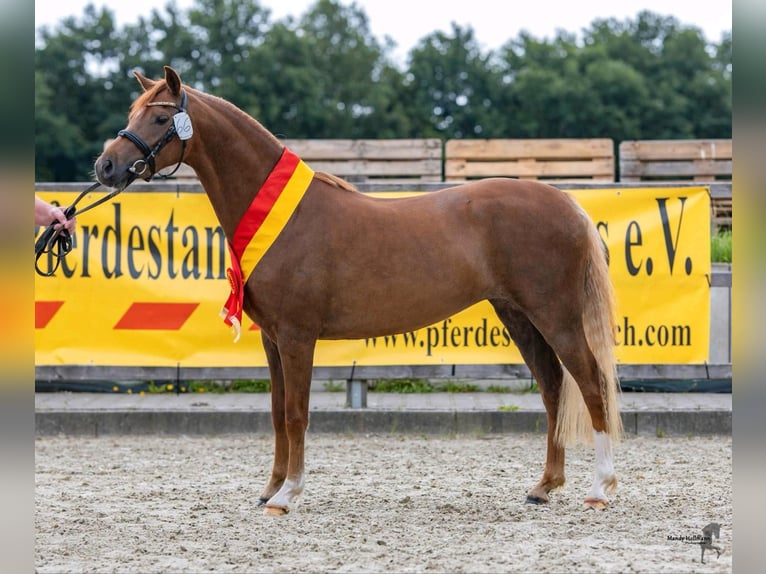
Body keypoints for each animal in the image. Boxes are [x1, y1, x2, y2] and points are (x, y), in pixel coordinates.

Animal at [95, 66, 622, 516]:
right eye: (131, 113)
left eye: (161, 116)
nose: (106, 167)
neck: (285, 216)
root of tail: (566, 202)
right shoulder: (273, 340)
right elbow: (276, 412)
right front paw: (271, 487)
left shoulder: (297, 337)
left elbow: (296, 413)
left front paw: (287, 494)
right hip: (518, 315)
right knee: (553, 387)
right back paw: (544, 486)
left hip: (555, 315)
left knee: (590, 382)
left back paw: (600, 488)